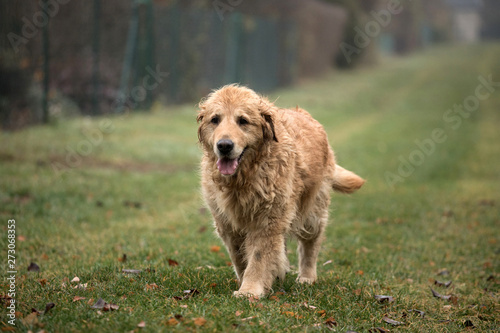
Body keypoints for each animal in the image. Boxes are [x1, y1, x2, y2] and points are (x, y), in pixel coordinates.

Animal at [197, 84, 366, 296]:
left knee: (310, 246)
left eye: (243, 121)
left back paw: (307, 277)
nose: (224, 146)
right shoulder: (227, 223)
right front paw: (248, 281)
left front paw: (250, 290)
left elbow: (259, 256)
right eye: (215, 120)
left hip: (312, 213)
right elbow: (239, 256)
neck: (244, 178)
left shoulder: (268, 220)